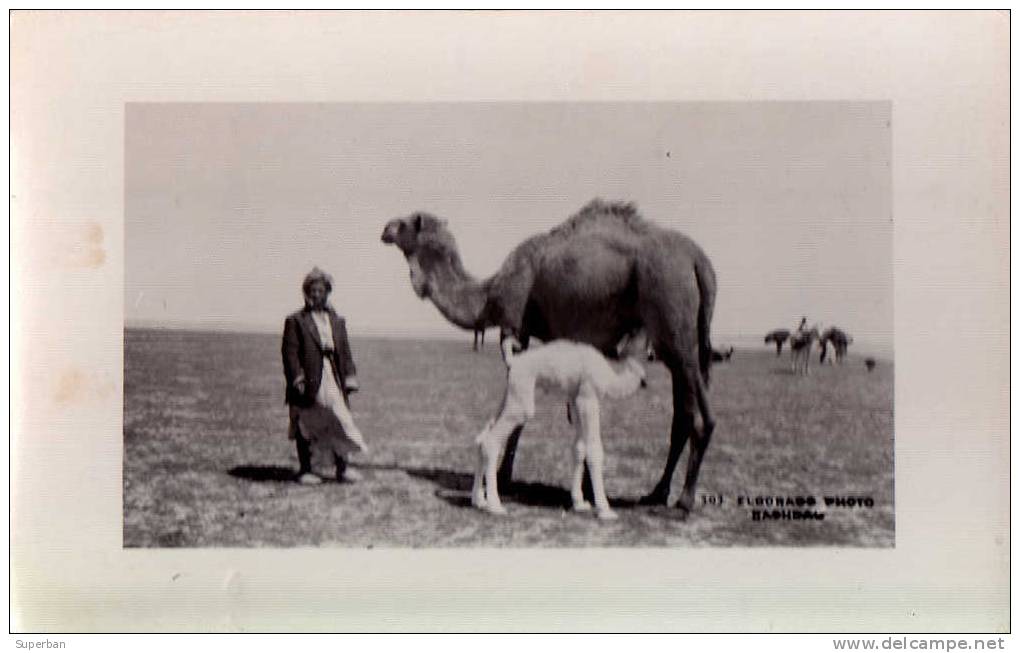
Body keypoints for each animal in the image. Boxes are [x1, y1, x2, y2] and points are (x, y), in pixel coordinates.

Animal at [469, 330, 644, 520]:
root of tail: (513, 361)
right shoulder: (588, 397)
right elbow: (594, 450)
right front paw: (605, 510)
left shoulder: (574, 399)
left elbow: (579, 448)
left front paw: (579, 503)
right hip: (522, 397)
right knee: (492, 440)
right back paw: (495, 506)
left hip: (510, 393)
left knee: (481, 437)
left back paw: (479, 501)